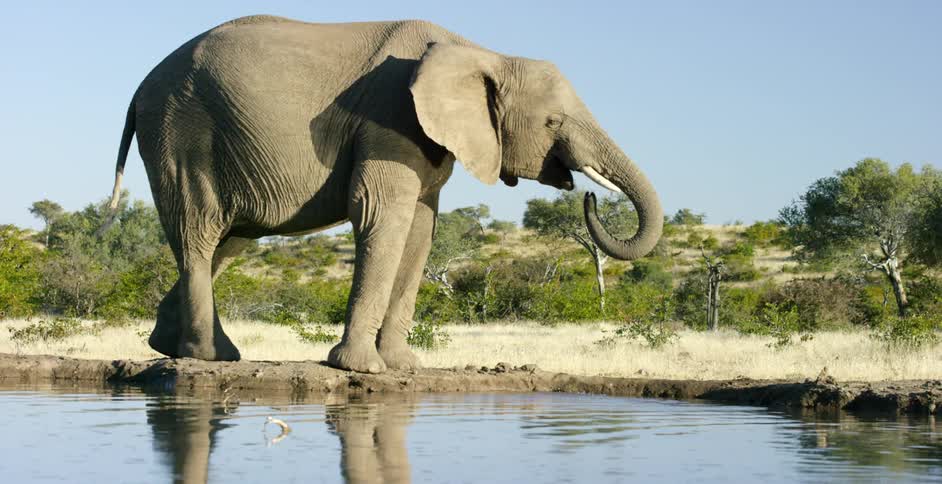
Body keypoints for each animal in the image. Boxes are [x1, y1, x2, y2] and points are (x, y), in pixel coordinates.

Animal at [106, 15, 663, 373]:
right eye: (552, 122)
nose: (588, 197)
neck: (480, 52)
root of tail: (138, 89)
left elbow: (420, 230)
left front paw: (402, 367)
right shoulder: (390, 116)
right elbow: (380, 216)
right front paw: (360, 369)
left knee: (235, 237)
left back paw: (171, 347)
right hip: (181, 130)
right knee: (200, 231)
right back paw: (209, 357)